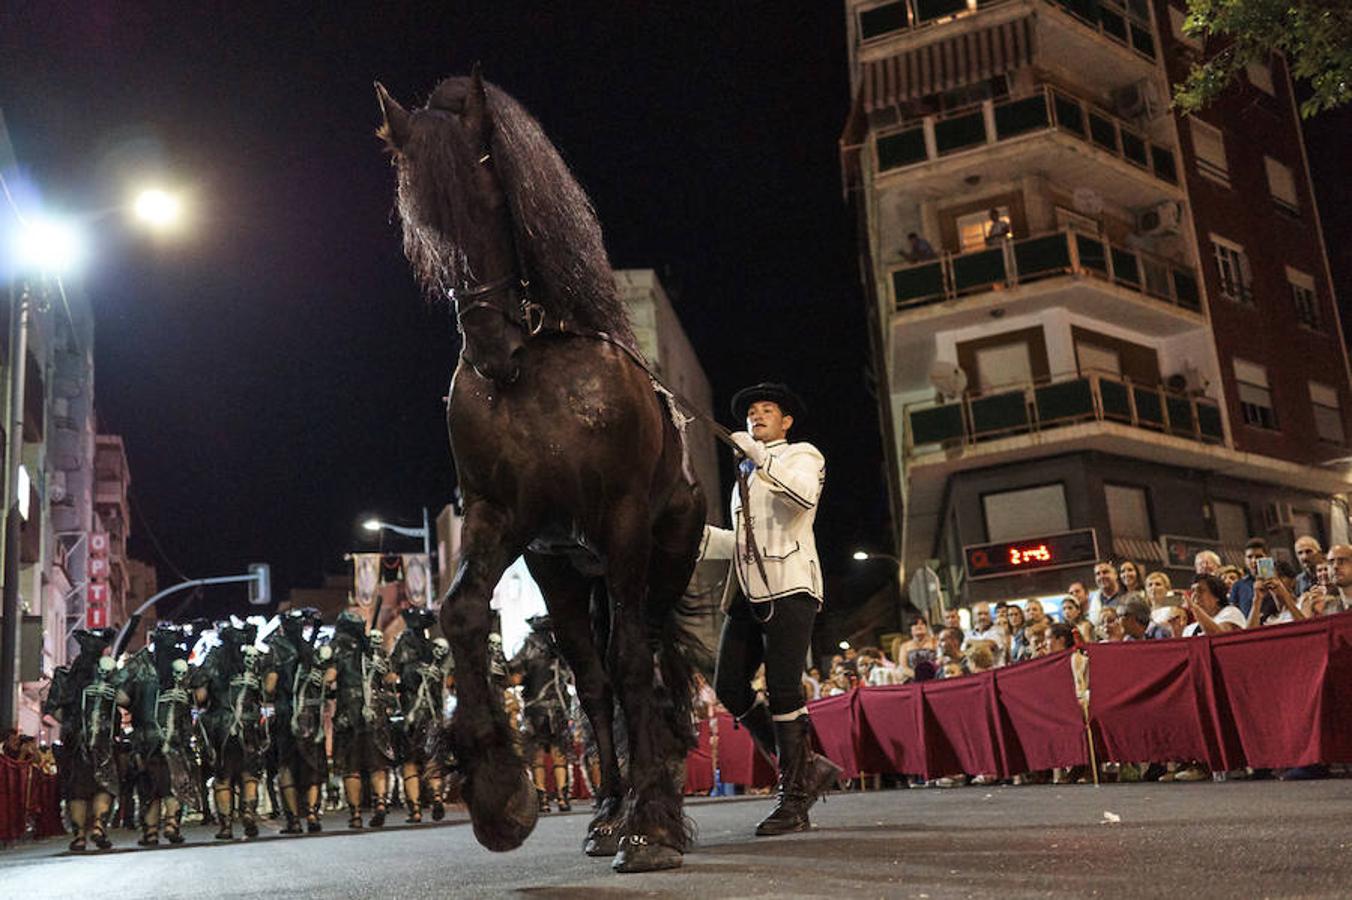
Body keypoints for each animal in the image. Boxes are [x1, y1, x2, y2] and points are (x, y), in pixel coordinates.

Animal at [373, 68, 703, 870]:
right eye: (420, 225)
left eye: (492, 193)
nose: (489, 352)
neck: (539, 368)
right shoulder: (510, 521)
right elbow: (464, 612)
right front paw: (499, 791)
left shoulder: (621, 523)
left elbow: (633, 663)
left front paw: (652, 827)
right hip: (569, 572)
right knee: (591, 676)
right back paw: (611, 809)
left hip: (660, 556)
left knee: (648, 661)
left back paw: (655, 799)